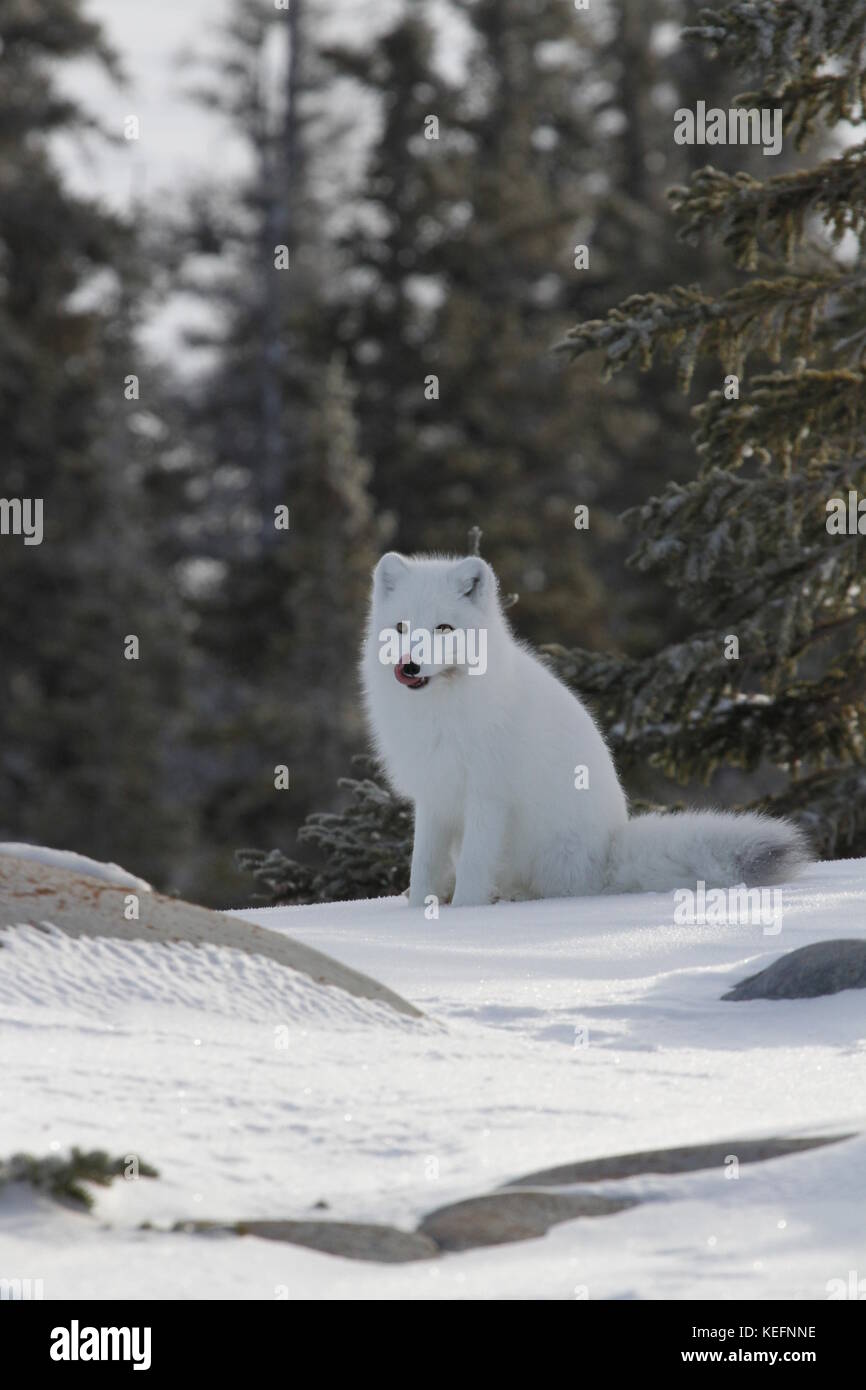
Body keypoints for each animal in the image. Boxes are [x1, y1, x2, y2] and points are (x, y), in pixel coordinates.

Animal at [361, 551, 808, 908]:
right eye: (400, 627)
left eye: (444, 629)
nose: (408, 666)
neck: (440, 710)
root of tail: (608, 854)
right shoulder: (434, 796)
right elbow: (423, 866)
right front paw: (418, 912)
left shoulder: (488, 797)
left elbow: (473, 867)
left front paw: (463, 916)